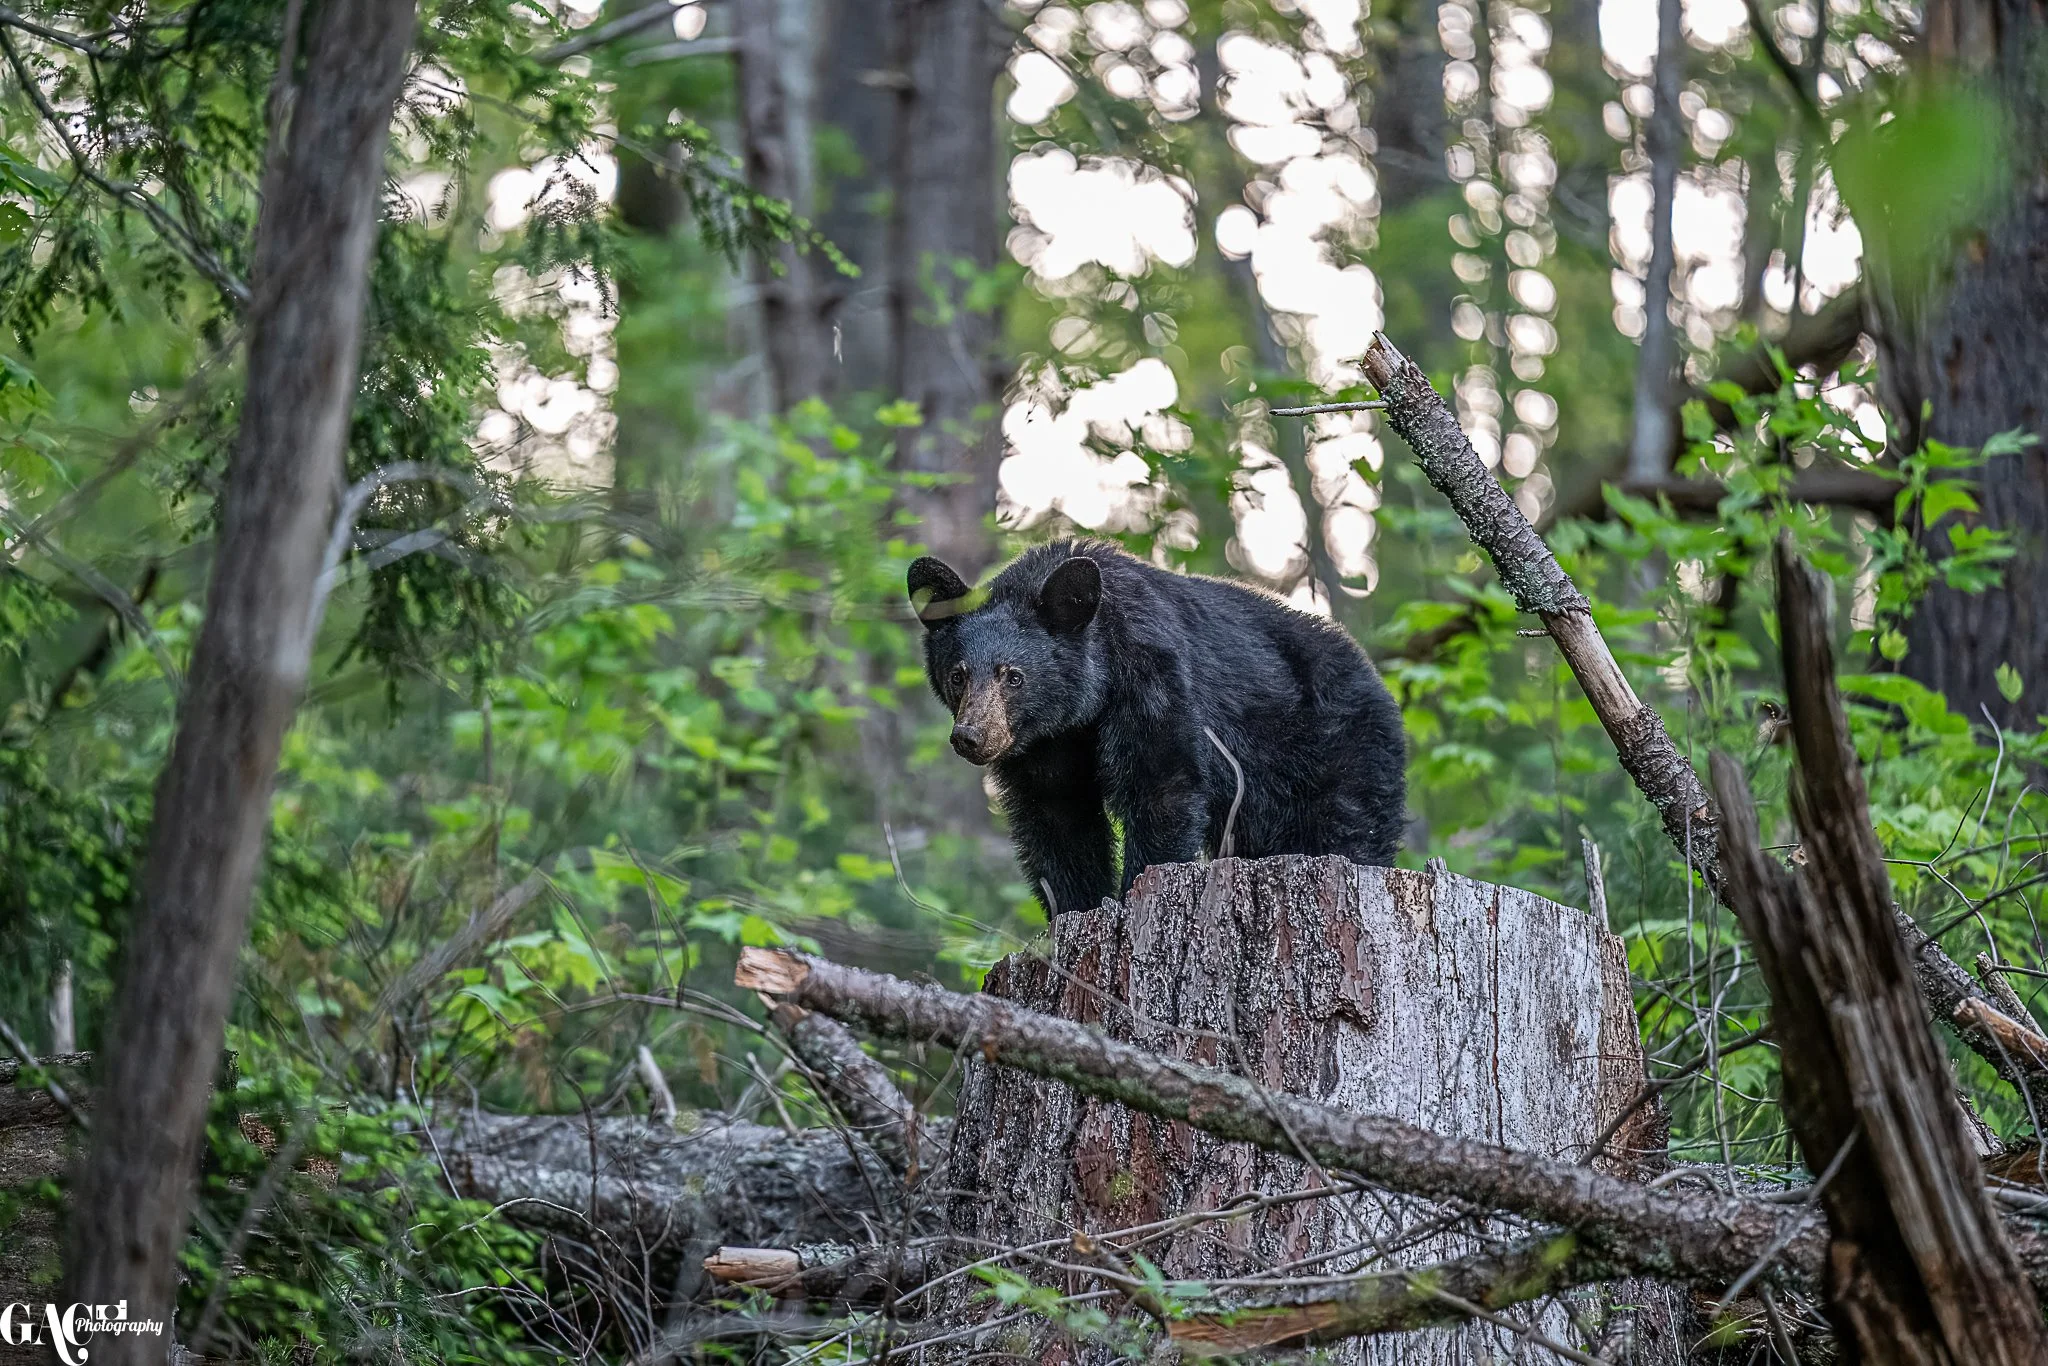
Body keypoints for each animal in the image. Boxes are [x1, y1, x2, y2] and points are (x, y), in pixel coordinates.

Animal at [907, 538, 1406, 915]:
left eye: (1013, 676)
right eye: (958, 675)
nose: (971, 736)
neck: (1087, 702)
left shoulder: (1153, 676)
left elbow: (1162, 783)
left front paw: (1135, 892)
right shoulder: (1044, 744)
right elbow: (1057, 818)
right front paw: (1074, 908)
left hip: (1340, 752)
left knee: (1349, 829)